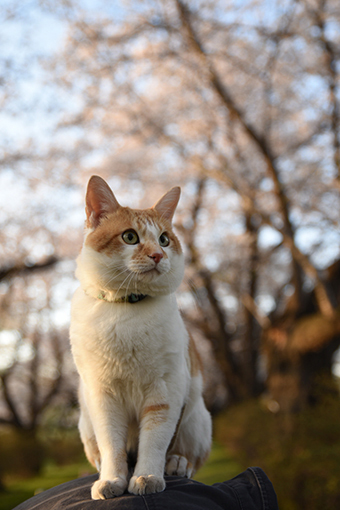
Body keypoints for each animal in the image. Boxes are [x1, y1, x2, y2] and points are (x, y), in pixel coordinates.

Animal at [70, 175, 211, 498]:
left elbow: (155, 441)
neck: (127, 309)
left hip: (197, 418)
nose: (158, 255)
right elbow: (112, 445)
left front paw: (147, 476)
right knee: (100, 451)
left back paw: (176, 463)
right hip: (85, 420)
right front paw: (112, 480)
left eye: (164, 240)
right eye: (130, 237)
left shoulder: (165, 391)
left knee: (189, 456)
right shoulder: (103, 396)